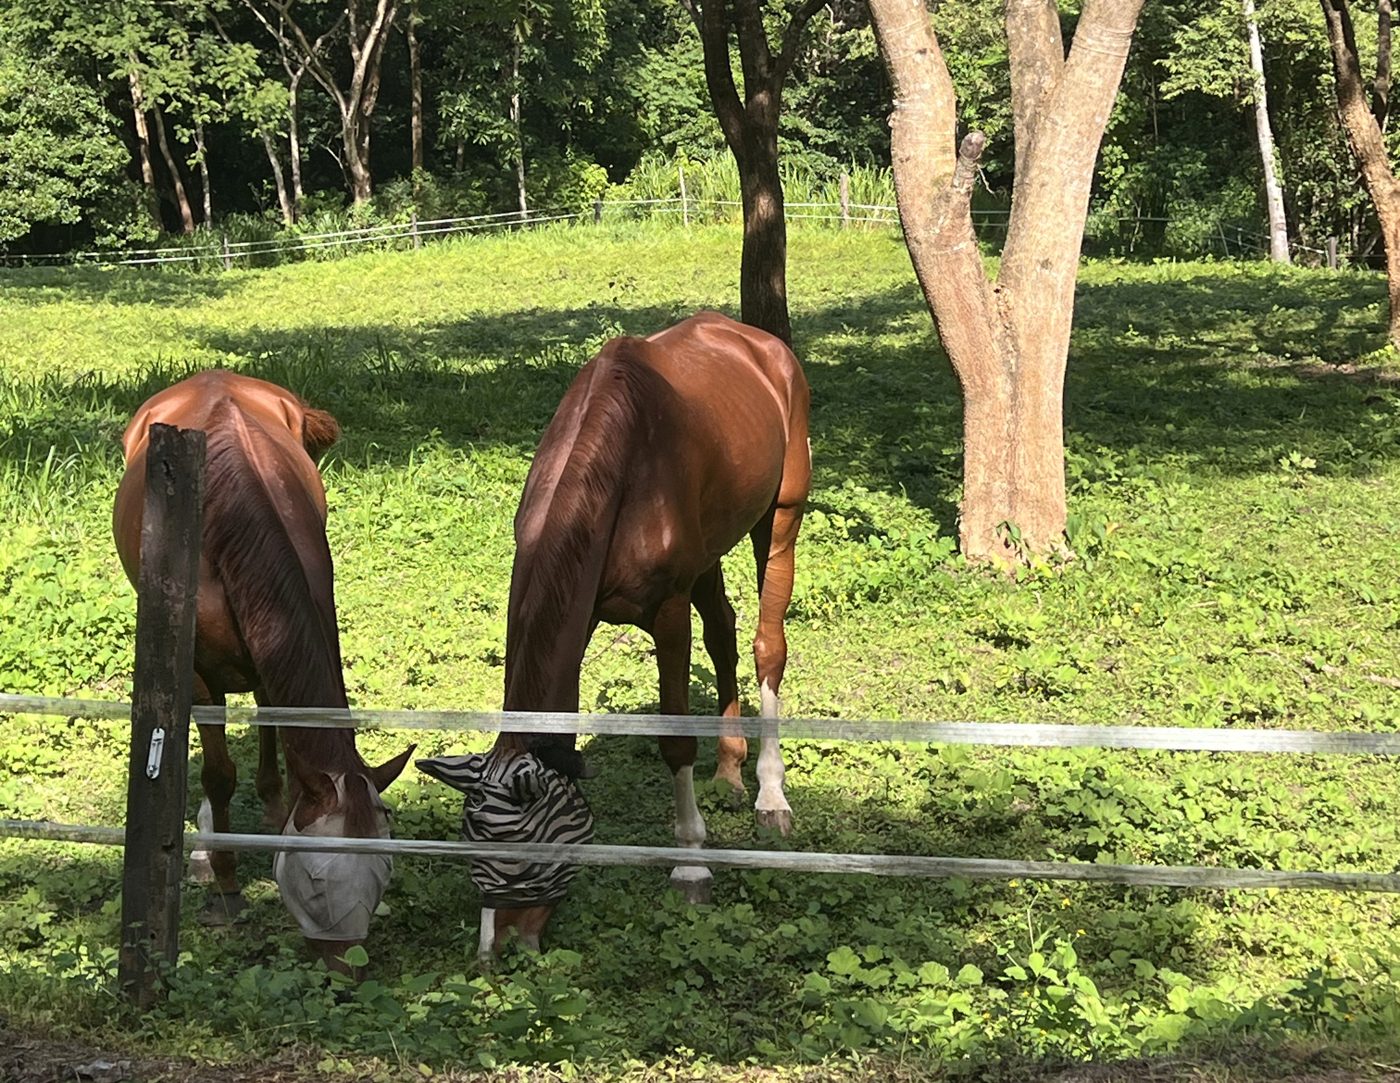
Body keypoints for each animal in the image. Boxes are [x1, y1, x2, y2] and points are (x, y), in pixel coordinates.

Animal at [113, 370, 413, 973]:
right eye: (317, 881)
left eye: (384, 873)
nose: (348, 967)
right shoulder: (199, 679)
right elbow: (219, 774)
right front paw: (226, 885)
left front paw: (275, 820)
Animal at [431, 311, 810, 959]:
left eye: (523, 848)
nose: (495, 947)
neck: (617, 460)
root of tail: (761, 344)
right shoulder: (578, 604)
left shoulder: (669, 612)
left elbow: (675, 740)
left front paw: (690, 865)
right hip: (710, 549)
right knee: (725, 634)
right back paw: (729, 770)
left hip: (779, 516)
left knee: (768, 644)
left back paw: (770, 795)